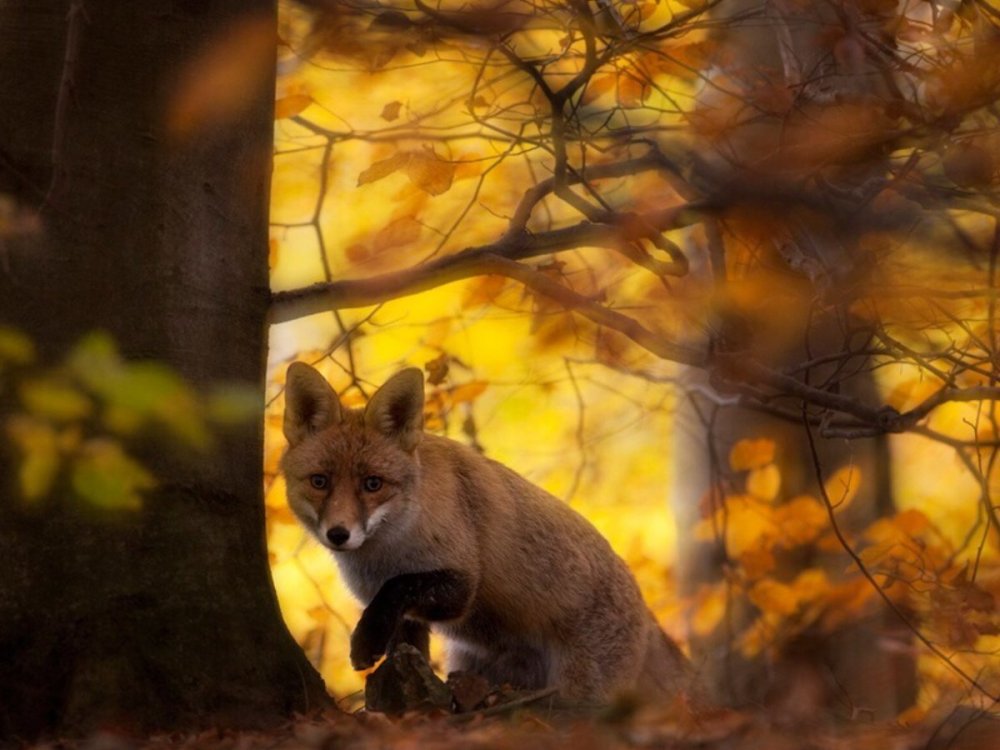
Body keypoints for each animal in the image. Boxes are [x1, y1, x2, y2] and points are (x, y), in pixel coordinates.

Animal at [278, 364, 692, 704]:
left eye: (372, 484)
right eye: (320, 481)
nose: (338, 534)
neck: (387, 555)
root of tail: (646, 609)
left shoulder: (460, 582)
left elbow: (400, 586)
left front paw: (364, 643)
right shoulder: (409, 620)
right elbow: (403, 643)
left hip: (582, 688)